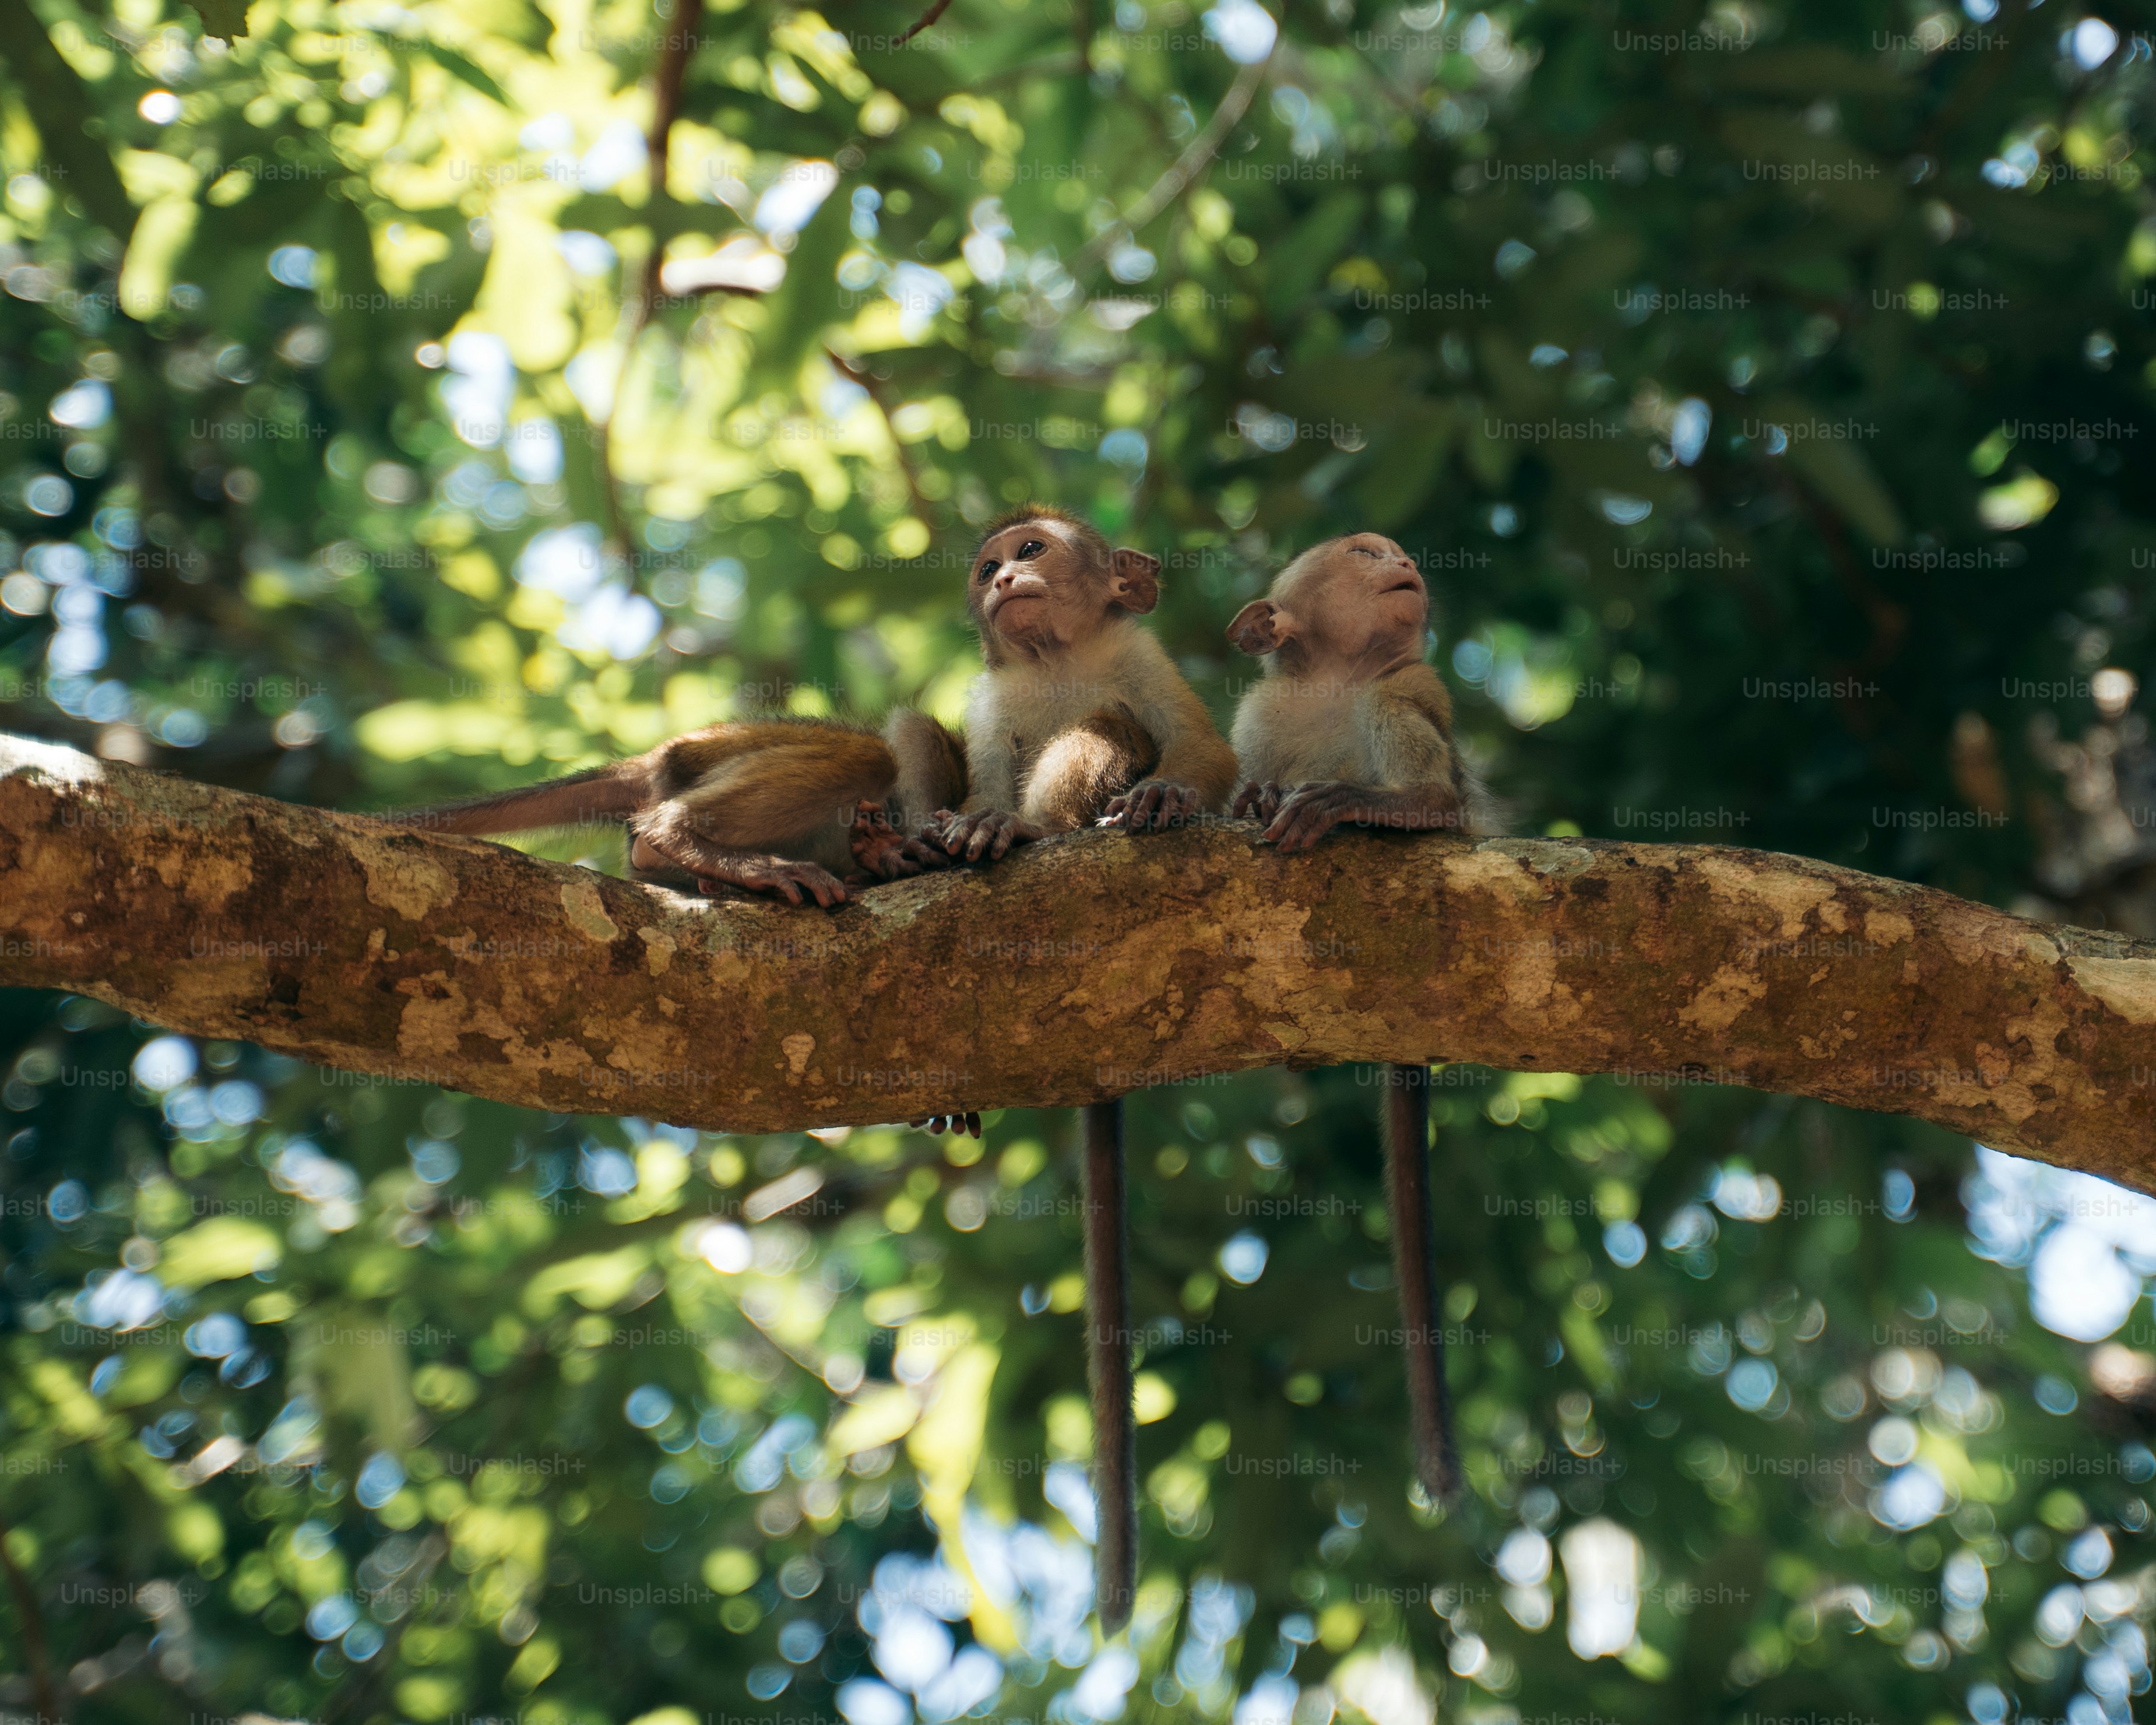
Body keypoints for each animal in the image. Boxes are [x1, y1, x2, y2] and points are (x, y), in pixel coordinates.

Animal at [924, 505, 1237, 1631]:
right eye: (987, 565)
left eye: (1033, 550)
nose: (1003, 579)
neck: (1055, 658)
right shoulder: (985, 699)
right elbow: (978, 766)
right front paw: (967, 819)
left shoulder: (1140, 656)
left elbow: (1194, 743)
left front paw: (1171, 792)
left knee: (1103, 728)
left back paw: (1054, 821)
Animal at [1225, 530, 1493, 1507]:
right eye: (1364, 552)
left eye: (1391, 550)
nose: (1402, 561)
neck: (1334, 677)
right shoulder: (1259, 715)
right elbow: (1249, 772)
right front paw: (1249, 800)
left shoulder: (1415, 679)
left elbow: (1410, 716)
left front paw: (1367, 802)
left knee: (1422, 769)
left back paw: (1385, 806)